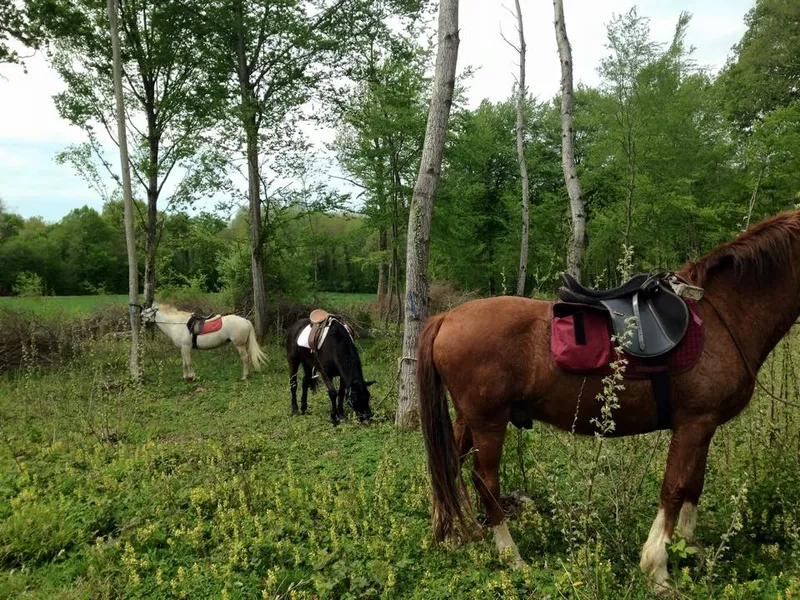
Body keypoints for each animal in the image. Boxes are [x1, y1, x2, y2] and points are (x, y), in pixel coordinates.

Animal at [416, 211, 800, 592]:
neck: (722, 314)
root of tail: (446, 318)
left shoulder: (704, 426)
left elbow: (694, 485)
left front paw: (691, 550)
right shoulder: (693, 423)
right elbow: (674, 489)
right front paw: (658, 569)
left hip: (467, 419)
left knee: (448, 467)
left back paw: (449, 535)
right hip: (488, 422)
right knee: (485, 481)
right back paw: (512, 556)